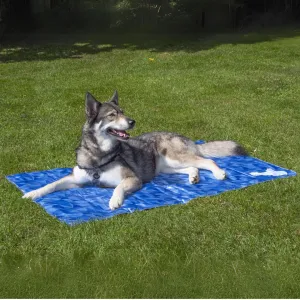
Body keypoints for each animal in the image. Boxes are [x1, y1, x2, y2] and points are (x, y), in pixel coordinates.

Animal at [22, 90, 246, 210]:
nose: (132, 121)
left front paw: (115, 200)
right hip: (165, 168)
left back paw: (219, 173)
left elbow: (118, 187)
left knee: (207, 161)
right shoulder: (75, 180)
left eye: (123, 112)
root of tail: (188, 138)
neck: (99, 156)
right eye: (112, 115)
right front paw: (32, 193)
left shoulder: (133, 179)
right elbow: (51, 184)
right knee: (194, 167)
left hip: (175, 157)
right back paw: (194, 178)